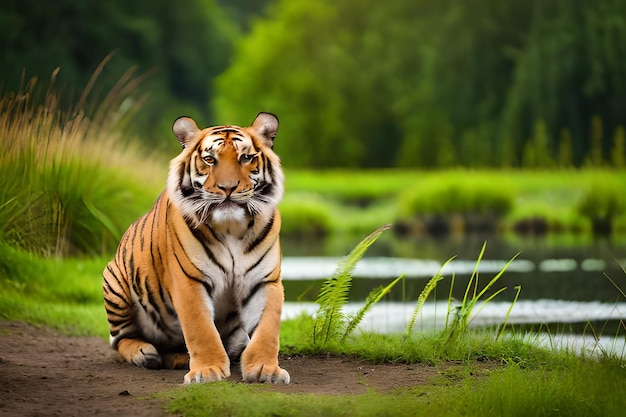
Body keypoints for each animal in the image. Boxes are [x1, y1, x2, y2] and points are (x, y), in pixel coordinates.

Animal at [101, 111, 288, 384]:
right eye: (210, 159)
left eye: (245, 157)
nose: (228, 188)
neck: (232, 227)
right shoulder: (189, 280)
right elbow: (201, 328)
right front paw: (207, 371)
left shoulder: (264, 280)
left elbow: (267, 328)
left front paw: (265, 369)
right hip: (114, 281)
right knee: (121, 339)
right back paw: (146, 353)